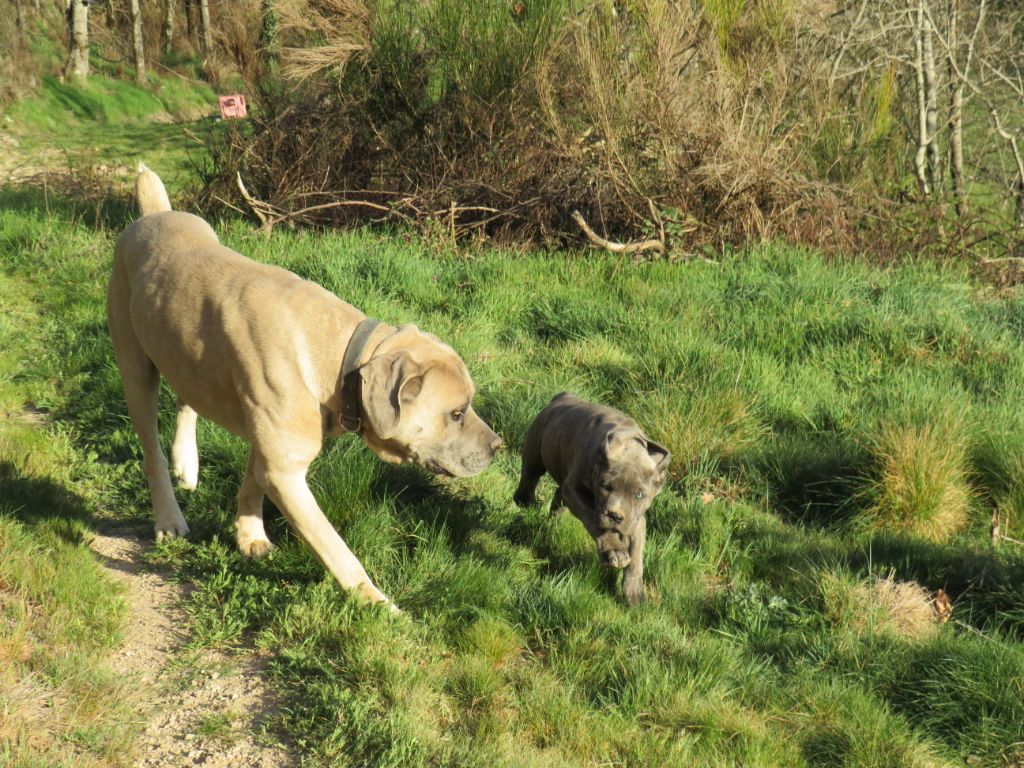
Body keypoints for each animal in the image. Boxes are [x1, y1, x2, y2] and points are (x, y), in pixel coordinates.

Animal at [107, 163, 499, 614]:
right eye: (456, 413)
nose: (499, 446)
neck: (341, 363)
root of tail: (153, 215)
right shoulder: (286, 470)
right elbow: (336, 548)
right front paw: (378, 604)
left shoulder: (271, 448)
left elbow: (251, 485)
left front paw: (249, 536)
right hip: (135, 368)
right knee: (150, 451)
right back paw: (169, 517)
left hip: (185, 351)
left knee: (188, 396)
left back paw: (187, 462)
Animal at [512, 397, 671, 606]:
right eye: (605, 486)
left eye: (639, 495)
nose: (615, 516)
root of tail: (563, 396)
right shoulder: (575, 492)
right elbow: (594, 522)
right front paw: (613, 550)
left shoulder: (635, 519)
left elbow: (636, 555)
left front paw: (634, 593)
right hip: (535, 453)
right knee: (529, 478)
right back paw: (524, 501)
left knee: (557, 496)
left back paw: (555, 520)